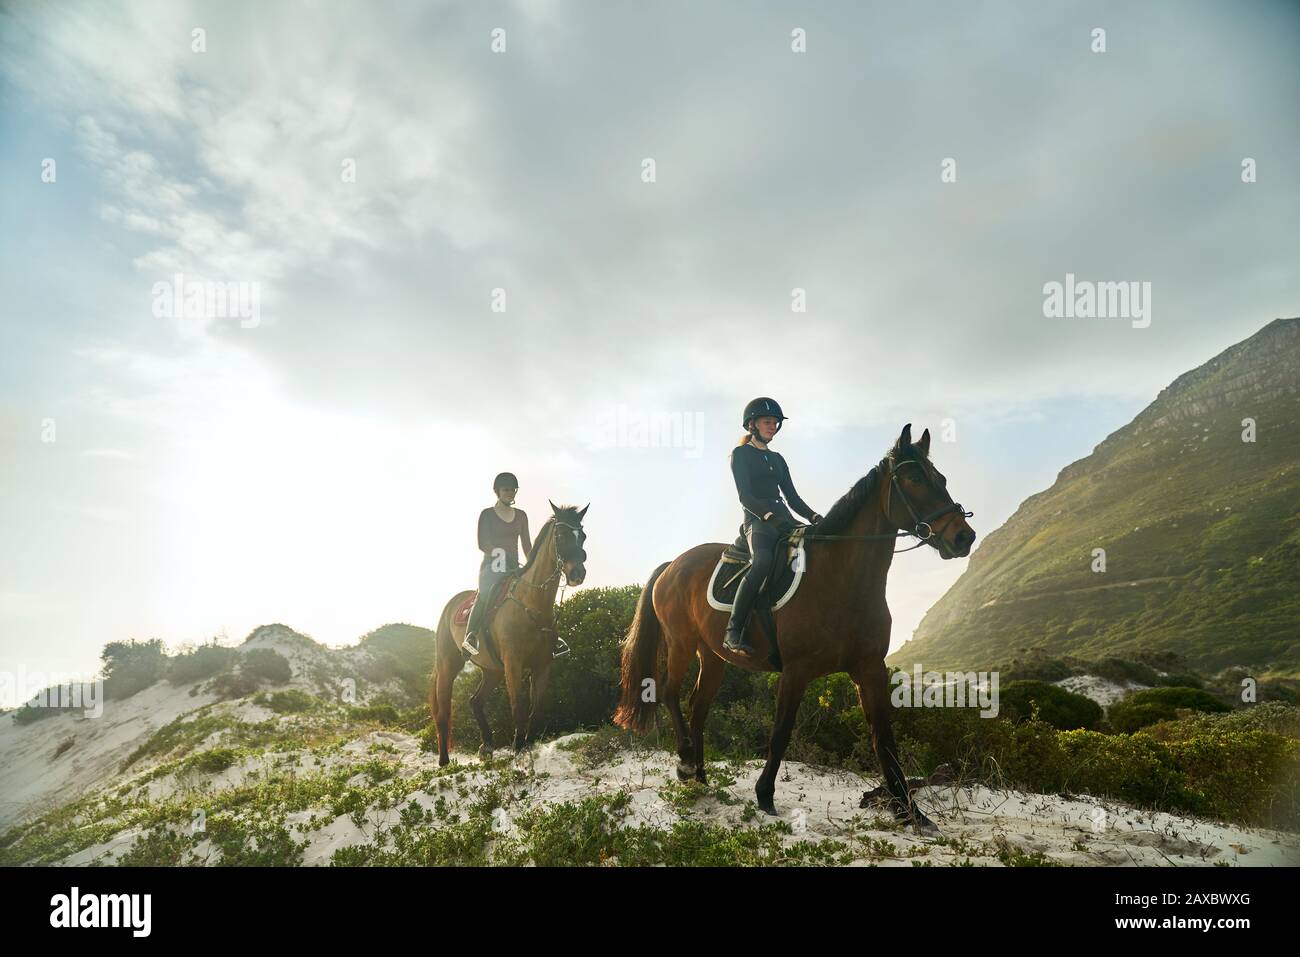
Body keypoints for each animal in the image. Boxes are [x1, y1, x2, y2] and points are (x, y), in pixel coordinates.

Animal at [428, 501, 592, 764]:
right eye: (560, 535)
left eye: (583, 536)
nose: (577, 573)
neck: (531, 603)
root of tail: (450, 604)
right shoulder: (513, 664)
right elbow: (518, 706)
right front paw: (518, 748)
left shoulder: (542, 665)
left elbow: (537, 709)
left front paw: (529, 746)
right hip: (448, 665)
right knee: (443, 711)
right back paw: (444, 761)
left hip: (492, 670)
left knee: (475, 701)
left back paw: (487, 746)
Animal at [611, 421, 977, 832]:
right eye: (914, 480)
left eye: (940, 478)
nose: (964, 537)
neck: (840, 579)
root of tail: (673, 564)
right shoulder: (796, 670)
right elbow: (781, 732)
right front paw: (765, 795)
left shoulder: (869, 668)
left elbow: (884, 738)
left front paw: (909, 811)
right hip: (681, 643)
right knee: (671, 693)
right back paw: (687, 762)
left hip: (713, 655)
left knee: (697, 706)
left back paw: (701, 776)